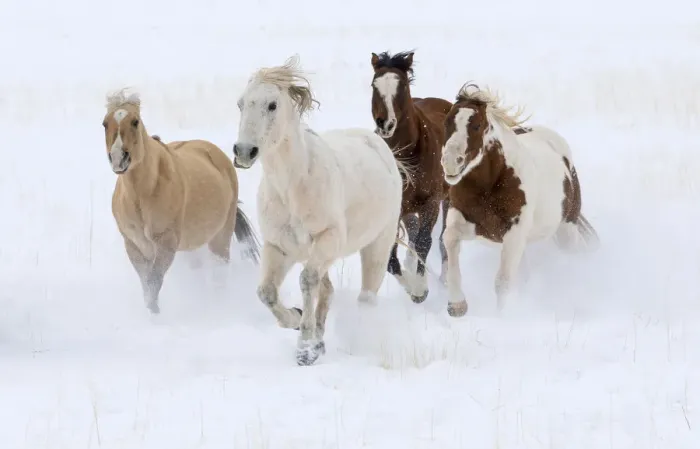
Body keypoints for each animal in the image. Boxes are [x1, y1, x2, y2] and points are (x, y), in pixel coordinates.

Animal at [103, 89, 261, 314]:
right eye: (104, 123)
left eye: (135, 121)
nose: (118, 159)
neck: (141, 195)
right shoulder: (134, 245)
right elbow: (146, 284)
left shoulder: (166, 243)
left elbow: (154, 283)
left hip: (220, 237)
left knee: (220, 272)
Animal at [232, 55, 408, 366]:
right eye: (241, 104)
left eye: (272, 105)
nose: (243, 152)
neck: (293, 188)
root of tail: (379, 145)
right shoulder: (279, 247)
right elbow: (266, 292)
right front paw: (296, 321)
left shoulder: (328, 239)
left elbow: (307, 281)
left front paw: (305, 346)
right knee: (328, 289)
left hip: (377, 244)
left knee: (366, 297)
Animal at [370, 50, 452, 304]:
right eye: (374, 84)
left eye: (403, 85)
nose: (385, 123)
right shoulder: (395, 210)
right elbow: (391, 259)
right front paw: (412, 283)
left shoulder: (431, 202)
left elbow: (425, 241)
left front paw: (420, 289)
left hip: (449, 198)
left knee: (443, 239)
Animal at [440, 83, 599, 317]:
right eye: (447, 122)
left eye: (476, 125)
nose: (451, 162)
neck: (490, 185)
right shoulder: (468, 222)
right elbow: (449, 239)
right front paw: (457, 306)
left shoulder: (514, 234)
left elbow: (503, 282)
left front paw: (500, 317)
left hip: (566, 229)